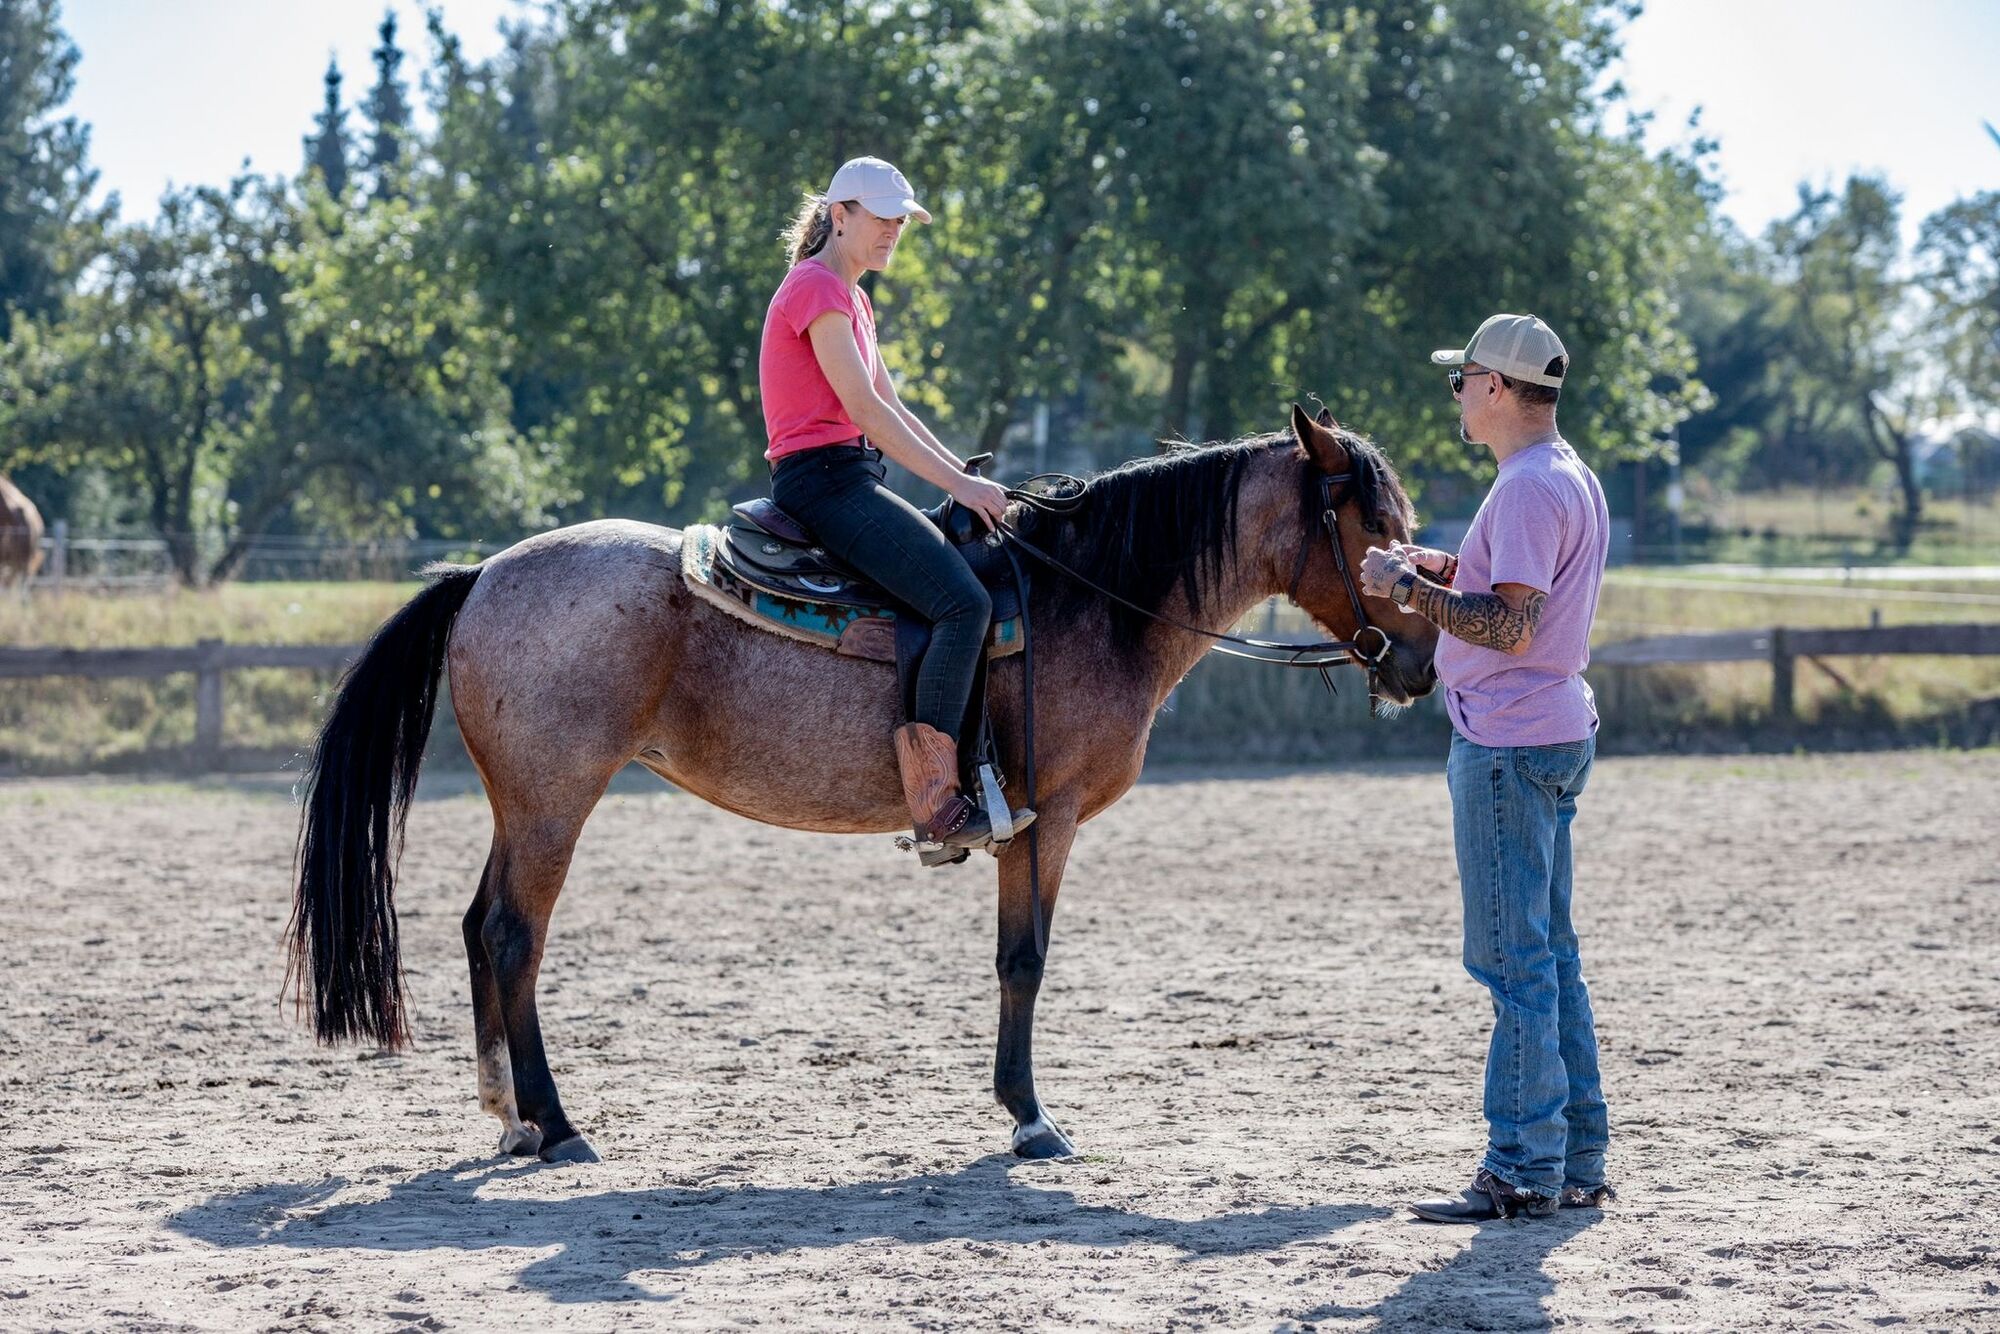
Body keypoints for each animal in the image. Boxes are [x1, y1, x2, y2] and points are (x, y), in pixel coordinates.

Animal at [290, 410, 1440, 1168]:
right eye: (1371, 526)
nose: (1420, 665)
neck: (1084, 601)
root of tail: (482, 573)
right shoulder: (1046, 817)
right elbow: (1023, 960)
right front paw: (1030, 1117)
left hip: (524, 804)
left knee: (480, 923)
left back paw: (512, 1116)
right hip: (553, 803)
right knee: (513, 935)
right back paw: (558, 1126)